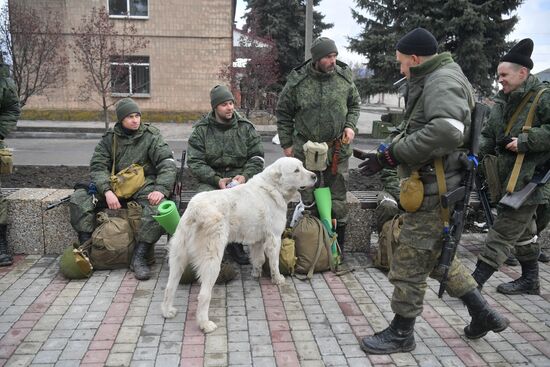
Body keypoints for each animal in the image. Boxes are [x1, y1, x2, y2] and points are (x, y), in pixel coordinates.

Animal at [162, 157, 316, 334]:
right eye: (296, 170)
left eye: (302, 166)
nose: (315, 176)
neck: (273, 187)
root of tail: (195, 210)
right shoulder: (274, 238)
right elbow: (274, 262)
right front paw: (278, 279)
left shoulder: (258, 241)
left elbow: (258, 259)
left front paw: (256, 273)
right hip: (212, 260)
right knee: (203, 295)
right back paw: (205, 324)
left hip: (178, 255)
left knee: (170, 286)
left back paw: (167, 311)